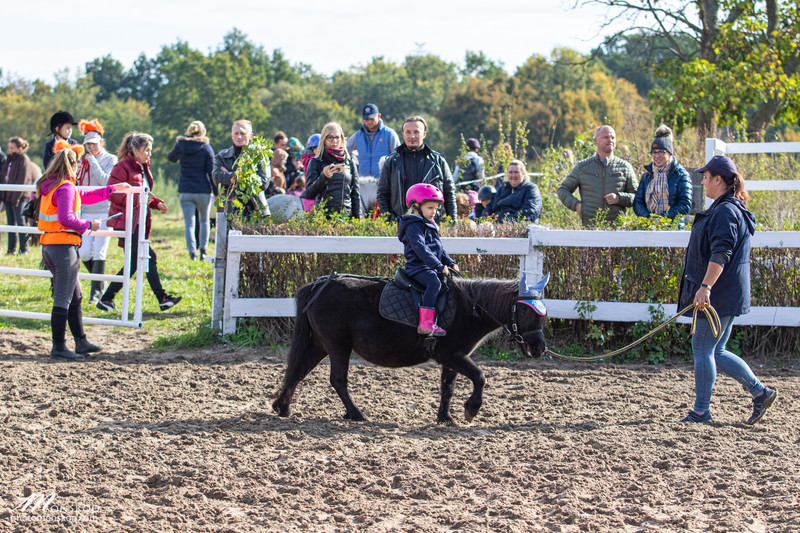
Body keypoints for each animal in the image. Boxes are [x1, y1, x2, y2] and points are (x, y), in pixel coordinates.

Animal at [272, 272, 548, 422]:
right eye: (525, 310)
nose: (539, 348)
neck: (469, 307)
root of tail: (319, 284)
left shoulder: (453, 359)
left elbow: (447, 388)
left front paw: (445, 418)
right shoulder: (452, 355)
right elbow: (480, 377)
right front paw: (471, 409)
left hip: (320, 344)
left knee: (298, 371)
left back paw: (282, 406)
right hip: (338, 345)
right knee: (337, 380)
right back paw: (356, 413)